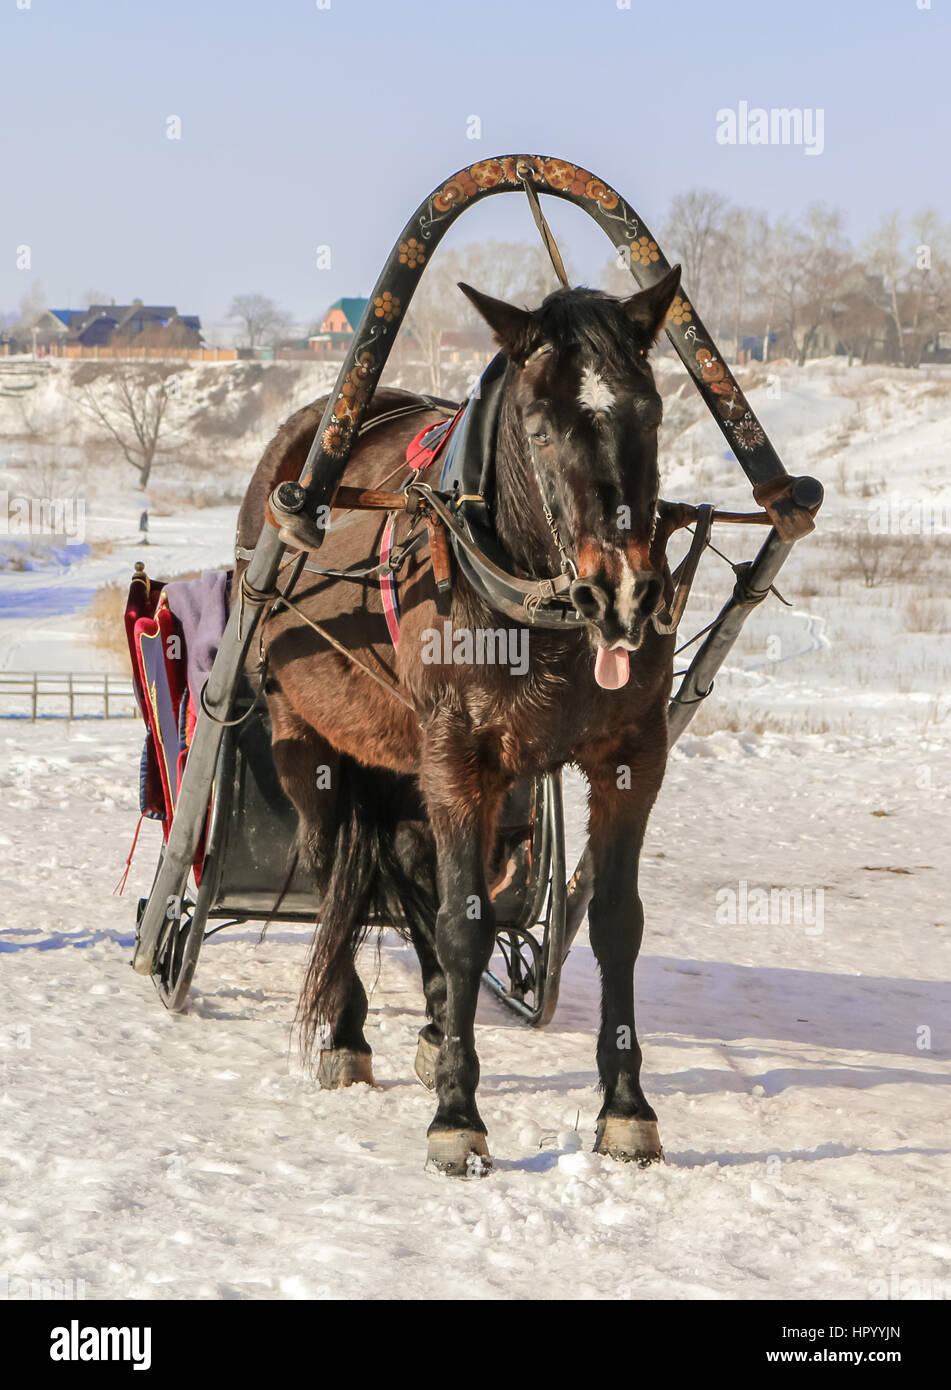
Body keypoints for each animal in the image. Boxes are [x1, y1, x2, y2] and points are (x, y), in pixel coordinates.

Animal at [236, 264, 682, 1175]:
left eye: (651, 411)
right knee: (336, 867)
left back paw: (440, 1018)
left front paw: (624, 1107)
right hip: (307, 741)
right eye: (540, 428)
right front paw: (456, 1115)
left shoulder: (631, 755)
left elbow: (613, 923)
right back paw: (348, 1030)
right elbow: (461, 922)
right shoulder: (457, 756)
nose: (623, 594)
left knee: (407, 872)